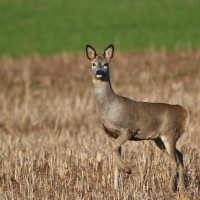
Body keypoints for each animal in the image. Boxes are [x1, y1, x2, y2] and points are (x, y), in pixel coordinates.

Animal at [86, 44, 189, 191]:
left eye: (106, 64)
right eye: (93, 63)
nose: (99, 71)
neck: (110, 108)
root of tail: (184, 112)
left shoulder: (128, 130)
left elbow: (115, 149)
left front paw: (128, 170)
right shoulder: (111, 135)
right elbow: (114, 160)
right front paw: (116, 187)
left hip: (169, 133)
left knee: (174, 161)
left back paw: (169, 189)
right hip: (159, 139)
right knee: (179, 155)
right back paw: (182, 186)